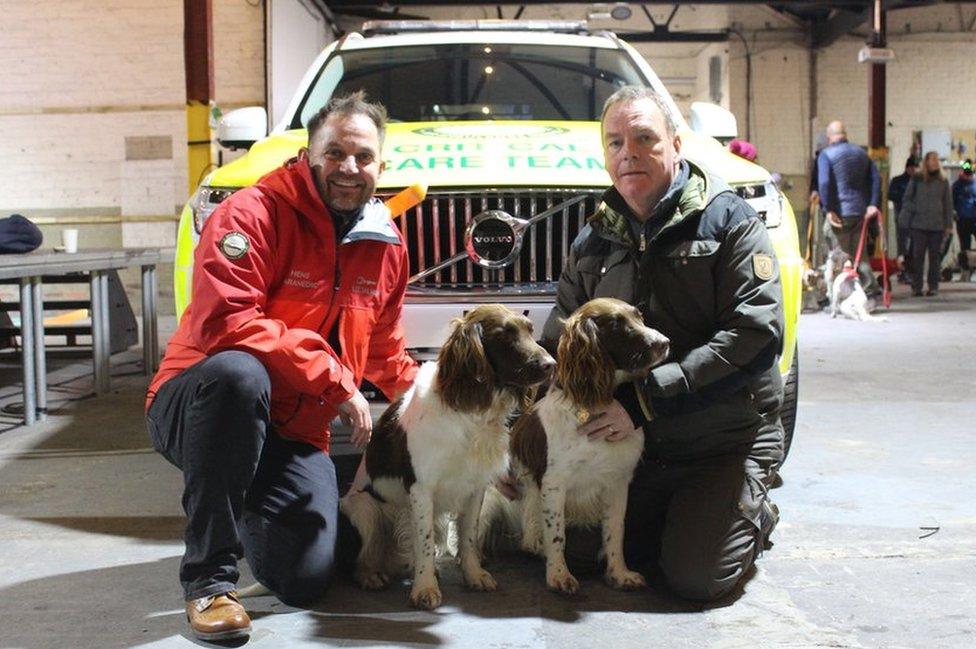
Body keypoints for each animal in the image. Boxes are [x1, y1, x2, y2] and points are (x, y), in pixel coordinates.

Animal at [342, 304, 556, 608]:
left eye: (530, 329)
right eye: (504, 334)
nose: (551, 364)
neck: (469, 410)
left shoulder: (476, 487)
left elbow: (468, 538)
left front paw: (474, 575)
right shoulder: (421, 489)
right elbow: (424, 542)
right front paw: (424, 588)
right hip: (363, 506)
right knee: (364, 556)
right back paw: (371, 575)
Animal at [486, 298, 672, 592]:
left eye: (639, 316)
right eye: (616, 324)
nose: (664, 342)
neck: (595, 405)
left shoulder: (618, 482)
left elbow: (615, 531)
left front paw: (619, 573)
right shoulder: (554, 484)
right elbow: (557, 534)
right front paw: (559, 575)